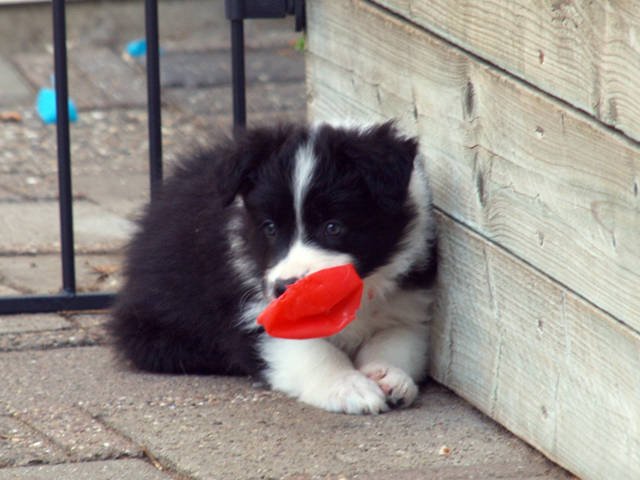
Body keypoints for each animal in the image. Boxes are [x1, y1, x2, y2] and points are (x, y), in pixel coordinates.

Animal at [109, 121, 437, 414]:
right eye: (270, 228)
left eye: (333, 227)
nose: (286, 288)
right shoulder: (253, 311)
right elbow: (312, 352)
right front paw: (347, 386)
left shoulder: (406, 307)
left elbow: (395, 342)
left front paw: (388, 376)